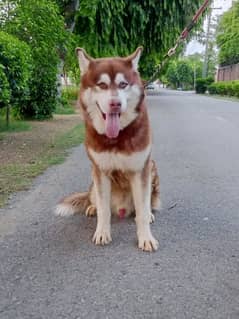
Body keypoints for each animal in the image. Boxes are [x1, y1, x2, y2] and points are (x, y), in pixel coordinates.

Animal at [55, 47, 161, 252]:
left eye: (123, 84)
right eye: (102, 85)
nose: (115, 104)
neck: (117, 138)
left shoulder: (141, 169)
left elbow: (142, 211)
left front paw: (146, 237)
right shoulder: (100, 170)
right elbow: (104, 210)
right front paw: (102, 232)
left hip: (152, 167)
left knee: (145, 205)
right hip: (93, 179)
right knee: (96, 200)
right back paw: (92, 207)